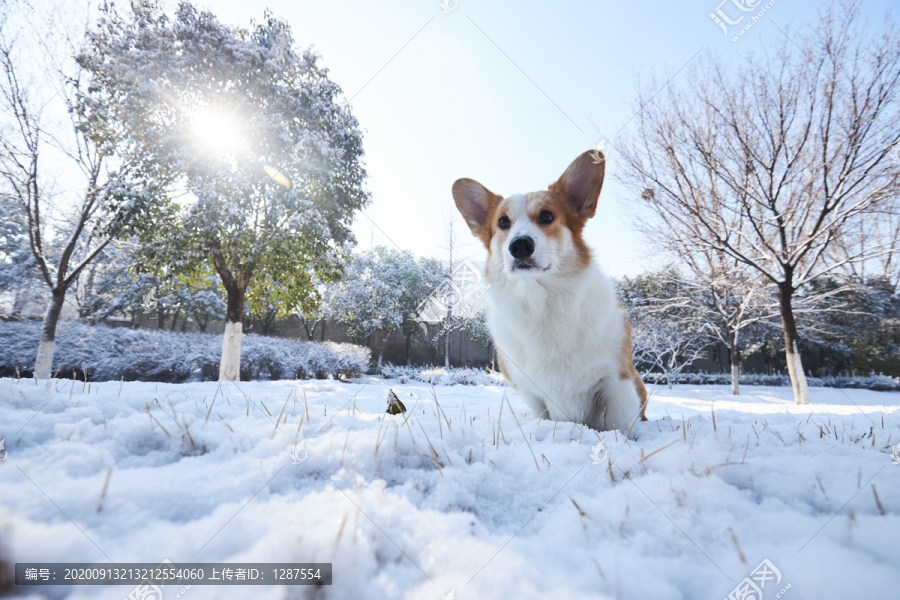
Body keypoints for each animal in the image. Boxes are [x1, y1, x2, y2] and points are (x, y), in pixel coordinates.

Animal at [458, 150, 648, 432]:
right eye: (503, 222)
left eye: (547, 216)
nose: (520, 245)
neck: (541, 301)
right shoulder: (533, 393)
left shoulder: (618, 382)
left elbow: (618, 426)